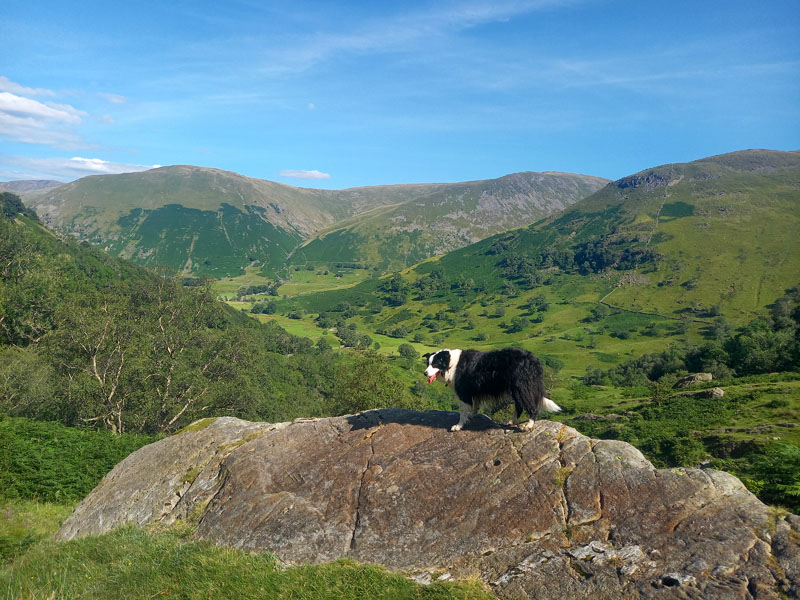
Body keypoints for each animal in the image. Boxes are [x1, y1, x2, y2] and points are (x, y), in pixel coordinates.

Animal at [424, 346, 564, 432]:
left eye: (435, 364)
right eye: (428, 364)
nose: (425, 373)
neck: (450, 364)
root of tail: (534, 359)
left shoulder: (464, 392)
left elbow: (463, 411)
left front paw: (458, 426)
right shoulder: (474, 390)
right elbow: (474, 406)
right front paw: (472, 416)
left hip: (521, 386)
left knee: (531, 406)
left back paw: (528, 425)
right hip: (515, 388)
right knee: (519, 406)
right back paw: (511, 421)